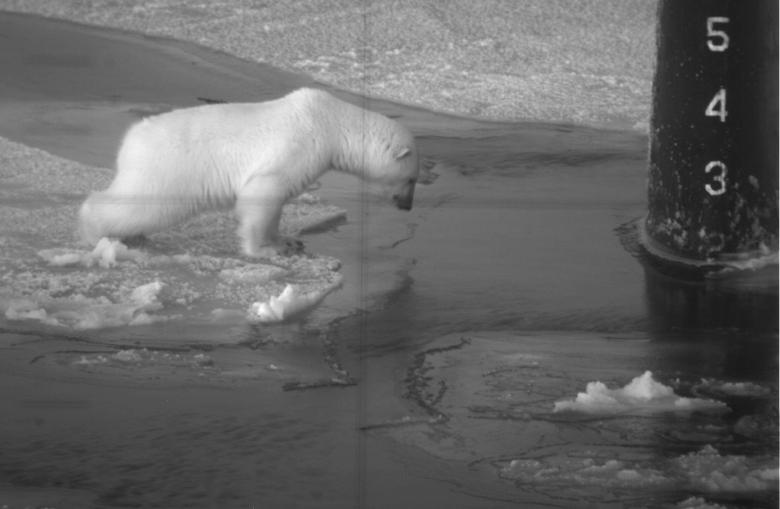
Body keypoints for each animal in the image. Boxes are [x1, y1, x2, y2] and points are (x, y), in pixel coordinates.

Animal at [78, 88, 419, 258]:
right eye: (412, 178)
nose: (407, 205)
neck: (331, 122)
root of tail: (131, 140)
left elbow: (277, 202)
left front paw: (287, 242)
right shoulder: (299, 145)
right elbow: (263, 192)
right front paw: (261, 251)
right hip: (166, 170)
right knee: (139, 205)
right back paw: (95, 232)